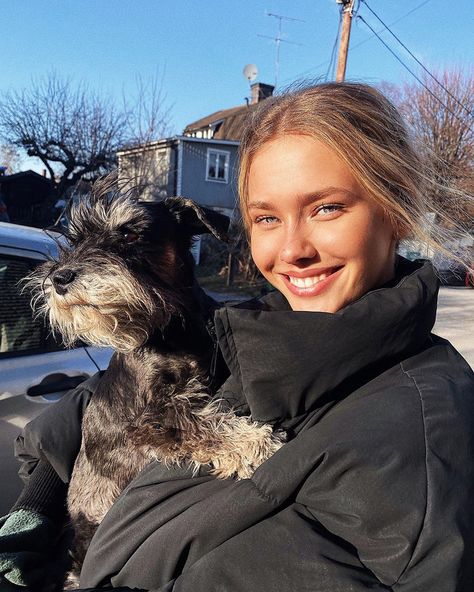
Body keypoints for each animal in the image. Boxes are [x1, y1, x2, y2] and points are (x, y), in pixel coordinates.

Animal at [27, 187, 282, 584]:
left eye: (129, 234)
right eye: (76, 239)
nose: (60, 279)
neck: (172, 329)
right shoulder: (153, 417)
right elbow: (202, 422)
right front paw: (255, 442)